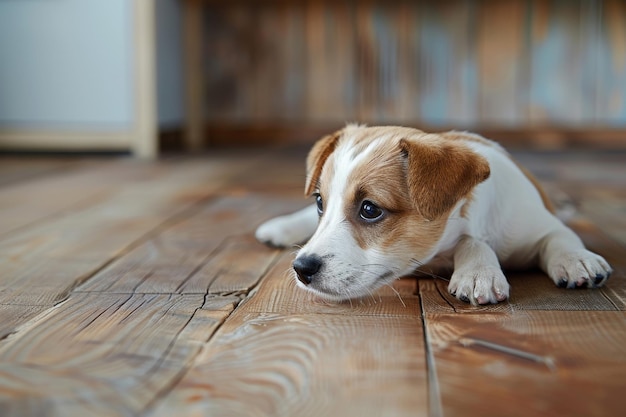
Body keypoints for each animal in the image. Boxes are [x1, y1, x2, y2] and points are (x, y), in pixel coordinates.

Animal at [254, 125, 608, 304]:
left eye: (370, 209)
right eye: (319, 202)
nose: (301, 268)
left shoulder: (539, 222)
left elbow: (561, 237)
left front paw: (577, 259)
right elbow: (473, 242)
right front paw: (479, 269)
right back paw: (282, 227)